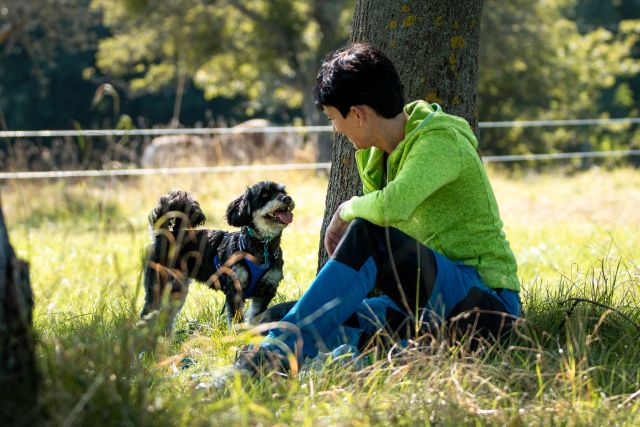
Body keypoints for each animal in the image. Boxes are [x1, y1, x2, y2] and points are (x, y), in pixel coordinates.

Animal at [140, 181, 295, 332]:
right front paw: (238, 336)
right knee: (148, 316)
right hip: (158, 287)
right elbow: (236, 320)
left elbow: (255, 318)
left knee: (165, 318)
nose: (287, 198)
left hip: (176, 290)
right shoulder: (235, 291)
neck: (262, 247)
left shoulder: (265, 292)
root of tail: (164, 235)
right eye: (264, 195)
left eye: (283, 192)